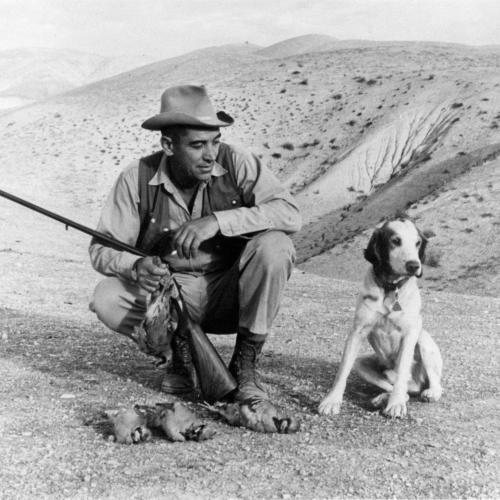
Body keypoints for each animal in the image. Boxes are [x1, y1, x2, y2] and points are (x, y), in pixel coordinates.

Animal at [318, 219, 444, 418]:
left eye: (417, 243)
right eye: (395, 241)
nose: (414, 266)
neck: (390, 289)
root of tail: (416, 385)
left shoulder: (410, 333)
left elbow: (401, 372)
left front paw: (396, 404)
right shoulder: (357, 332)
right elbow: (342, 371)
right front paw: (332, 400)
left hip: (423, 341)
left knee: (434, 385)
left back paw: (429, 392)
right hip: (362, 364)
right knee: (404, 391)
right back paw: (383, 398)